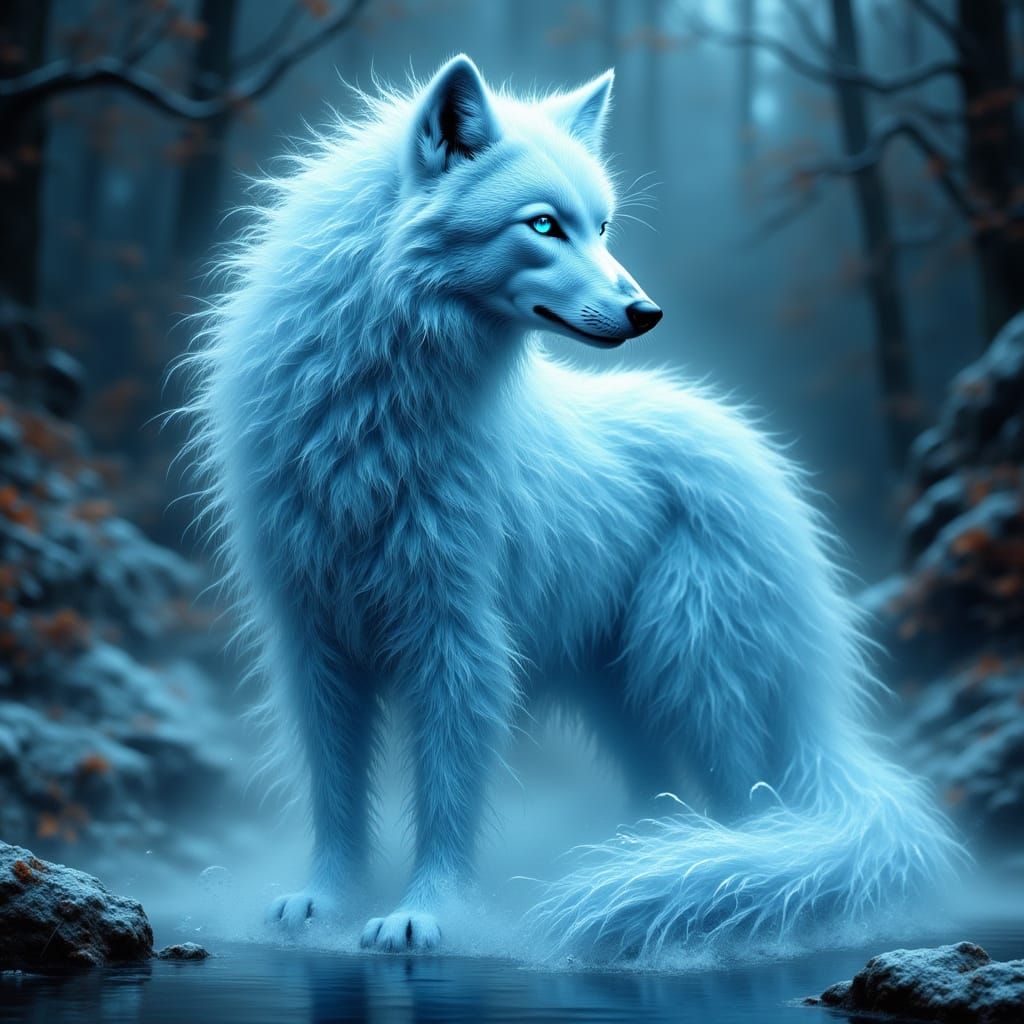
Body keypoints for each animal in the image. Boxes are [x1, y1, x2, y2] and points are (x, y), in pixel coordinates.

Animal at [183, 54, 959, 958]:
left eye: (603, 225)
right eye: (546, 225)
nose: (647, 313)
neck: (371, 420)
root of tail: (769, 474)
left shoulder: (460, 639)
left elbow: (445, 796)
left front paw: (425, 913)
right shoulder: (314, 641)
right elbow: (336, 794)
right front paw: (325, 903)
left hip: (690, 667)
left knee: (750, 802)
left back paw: (721, 881)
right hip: (619, 692)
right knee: (660, 788)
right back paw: (649, 861)